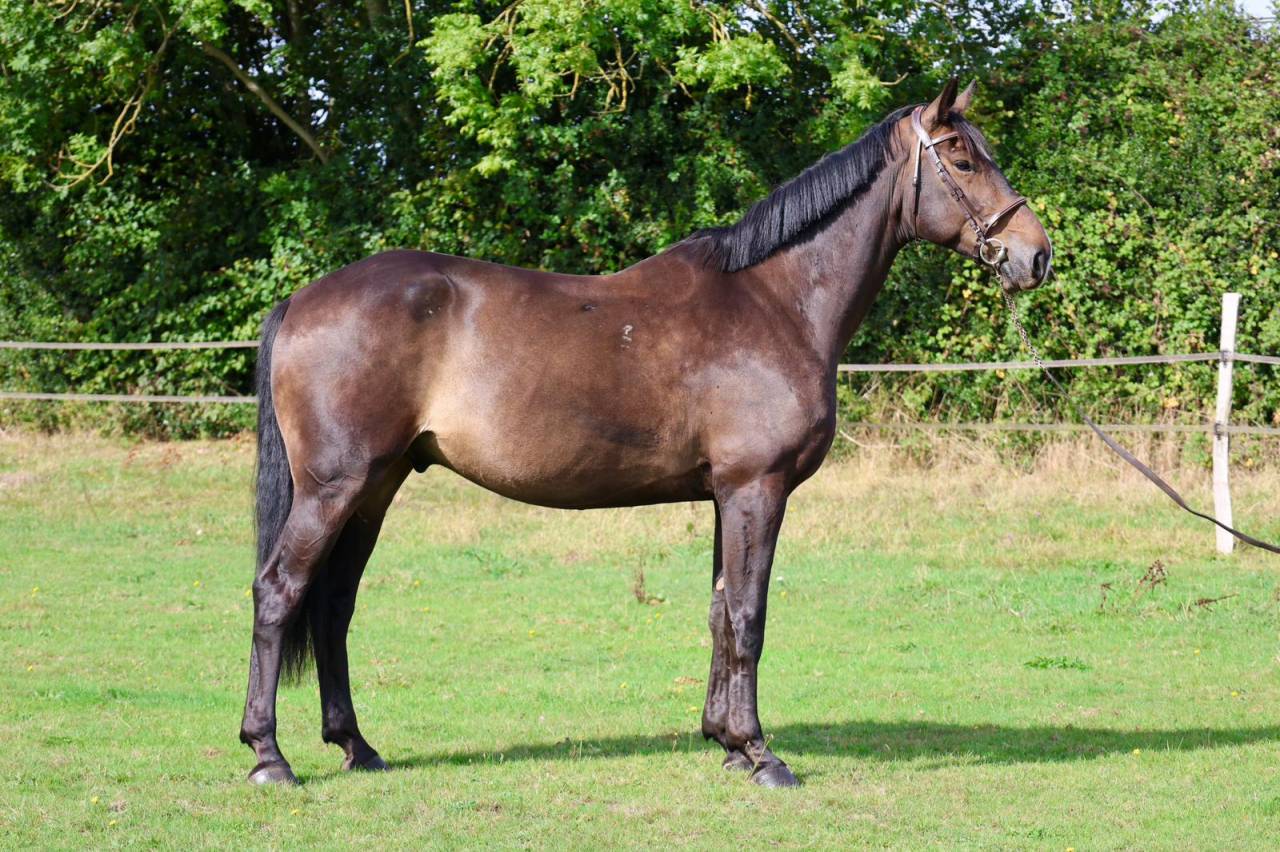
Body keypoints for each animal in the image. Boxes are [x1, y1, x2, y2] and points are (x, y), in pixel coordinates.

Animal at [240, 79, 1052, 788]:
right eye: (961, 157)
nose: (1035, 255)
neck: (777, 300)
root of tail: (302, 300)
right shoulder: (756, 488)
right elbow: (749, 615)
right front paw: (761, 755)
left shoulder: (726, 495)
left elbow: (721, 611)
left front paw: (726, 743)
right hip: (336, 487)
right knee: (280, 591)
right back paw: (268, 757)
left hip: (375, 488)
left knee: (334, 606)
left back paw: (357, 746)